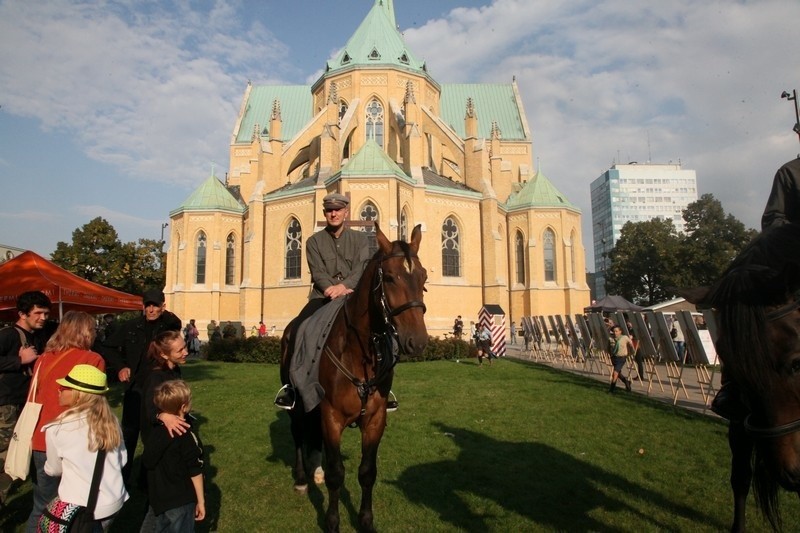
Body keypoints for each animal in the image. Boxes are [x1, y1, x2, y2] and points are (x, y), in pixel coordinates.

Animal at [282, 222, 432, 528]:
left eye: (423, 276)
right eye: (389, 277)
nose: (418, 341)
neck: (358, 350)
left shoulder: (375, 419)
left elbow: (367, 472)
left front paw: (365, 520)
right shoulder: (331, 416)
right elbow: (336, 474)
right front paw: (332, 521)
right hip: (297, 403)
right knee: (298, 433)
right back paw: (302, 478)